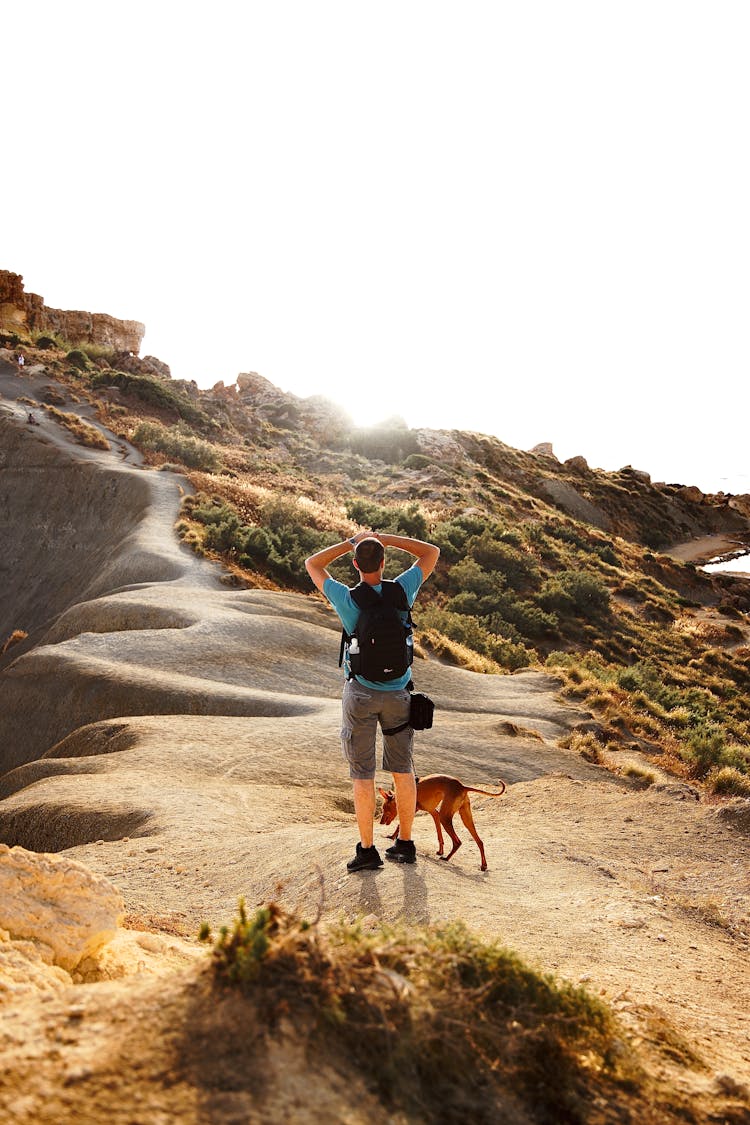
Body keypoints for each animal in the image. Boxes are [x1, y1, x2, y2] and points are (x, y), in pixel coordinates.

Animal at [377, 774, 508, 868]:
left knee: (458, 842)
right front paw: (440, 850)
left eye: (384, 808)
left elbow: (400, 825)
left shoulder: (417, 811)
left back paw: (447, 858)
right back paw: (483, 865)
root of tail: (462, 786)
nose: (380, 822)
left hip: (445, 818)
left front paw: (392, 836)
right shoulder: (435, 813)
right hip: (465, 819)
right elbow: (439, 835)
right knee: (480, 841)